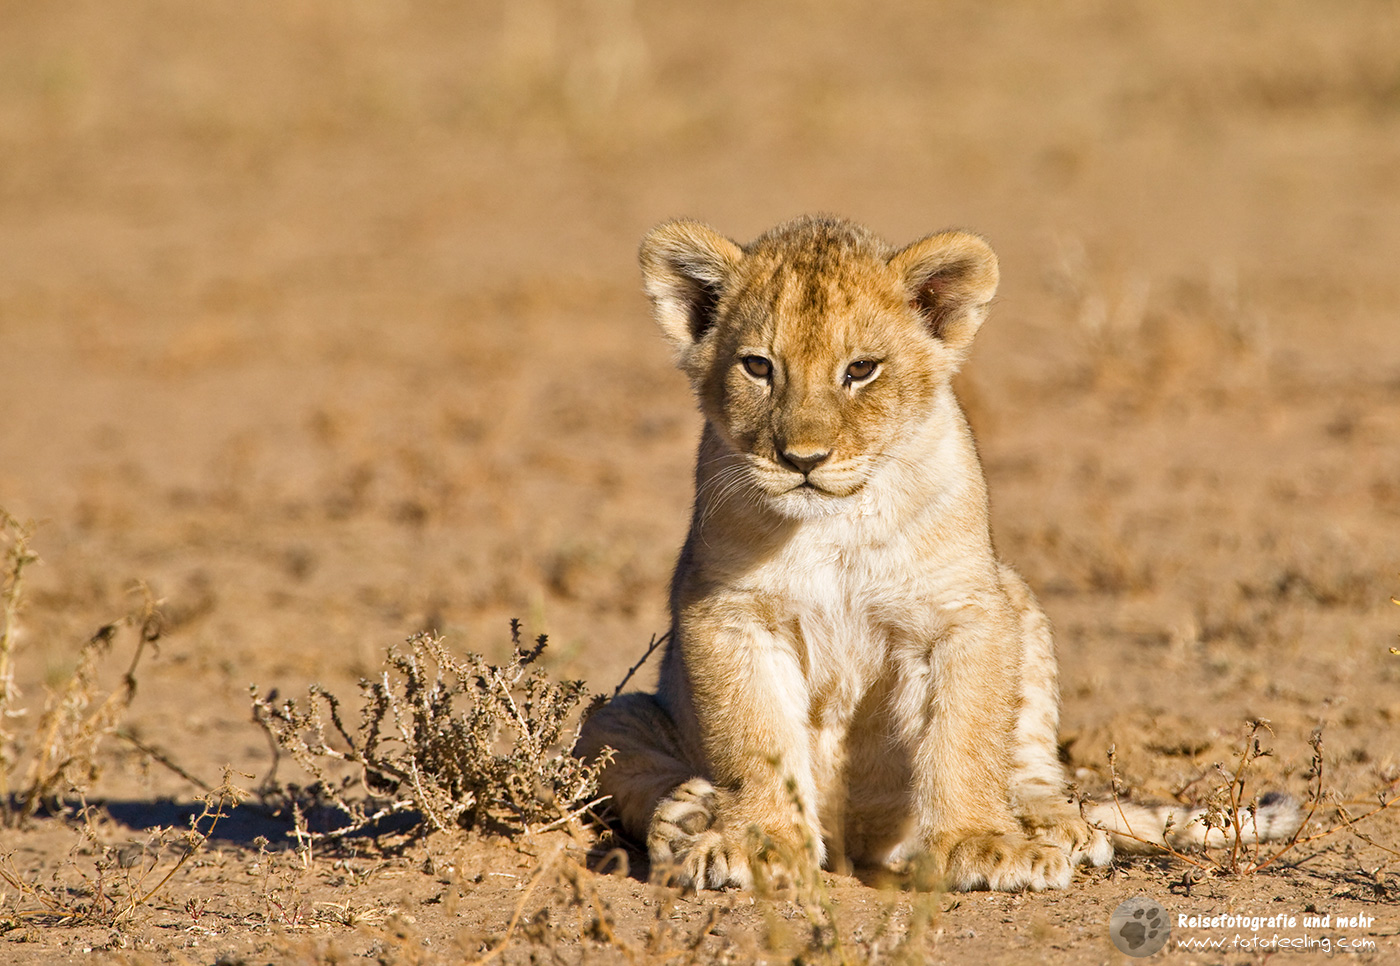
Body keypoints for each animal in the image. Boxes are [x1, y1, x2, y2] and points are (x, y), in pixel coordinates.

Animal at [576, 215, 1298, 892]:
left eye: (861, 369)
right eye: (758, 367)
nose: (803, 460)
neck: (833, 525)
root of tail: (858, 848)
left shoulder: (966, 612)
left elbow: (966, 736)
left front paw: (984, 844)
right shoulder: (728, 615)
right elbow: (755, 742)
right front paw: (755, 842)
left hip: (1020, 601)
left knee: (1040, 772)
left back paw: (1058, 829)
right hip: (615, 714)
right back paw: (686, 814)